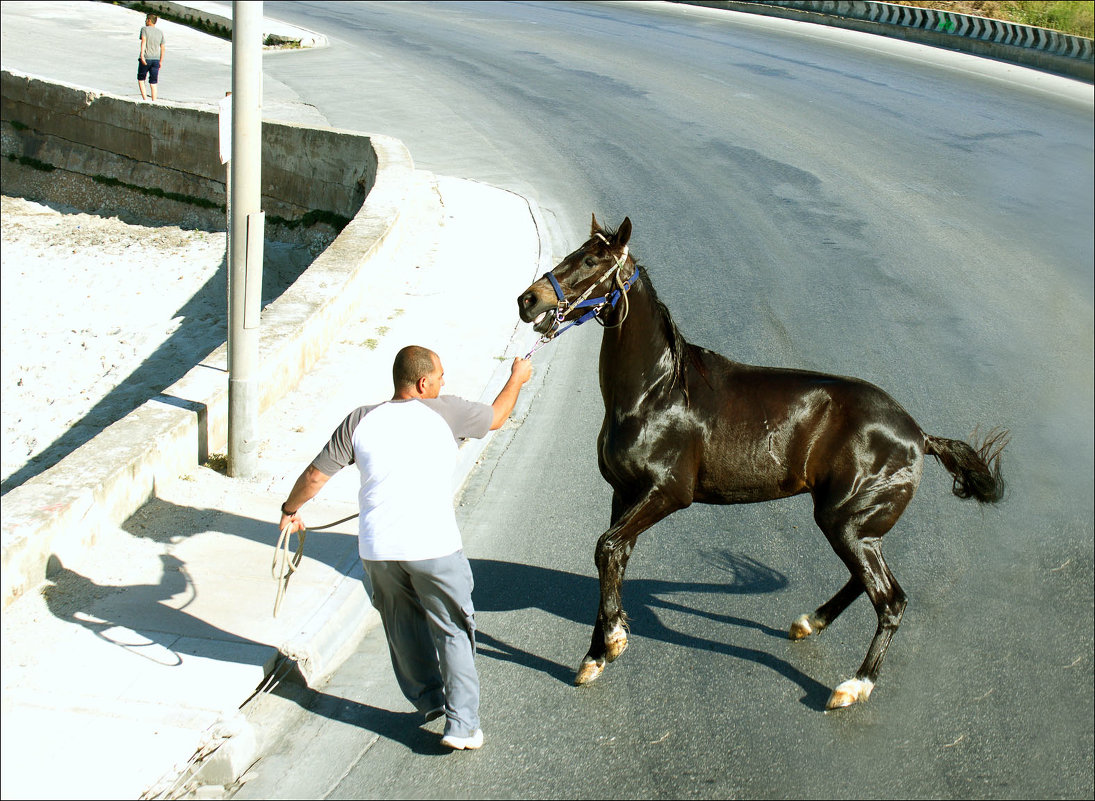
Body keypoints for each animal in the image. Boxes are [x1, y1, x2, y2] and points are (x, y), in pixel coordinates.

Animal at [516, 215, 1003, 709]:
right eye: (574, 252)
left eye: (592, 261)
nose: (528, 300)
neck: (655, 392)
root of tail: (919, 435)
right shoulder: (624, 493)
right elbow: (614, 557)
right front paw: (595, 656)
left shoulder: (667, 494)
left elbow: (606, 548)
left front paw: (614, 641)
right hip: (854, 526)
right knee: (862, 583)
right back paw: (808, 623)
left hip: (847, 522)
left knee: (890, 601)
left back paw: (853, 686)